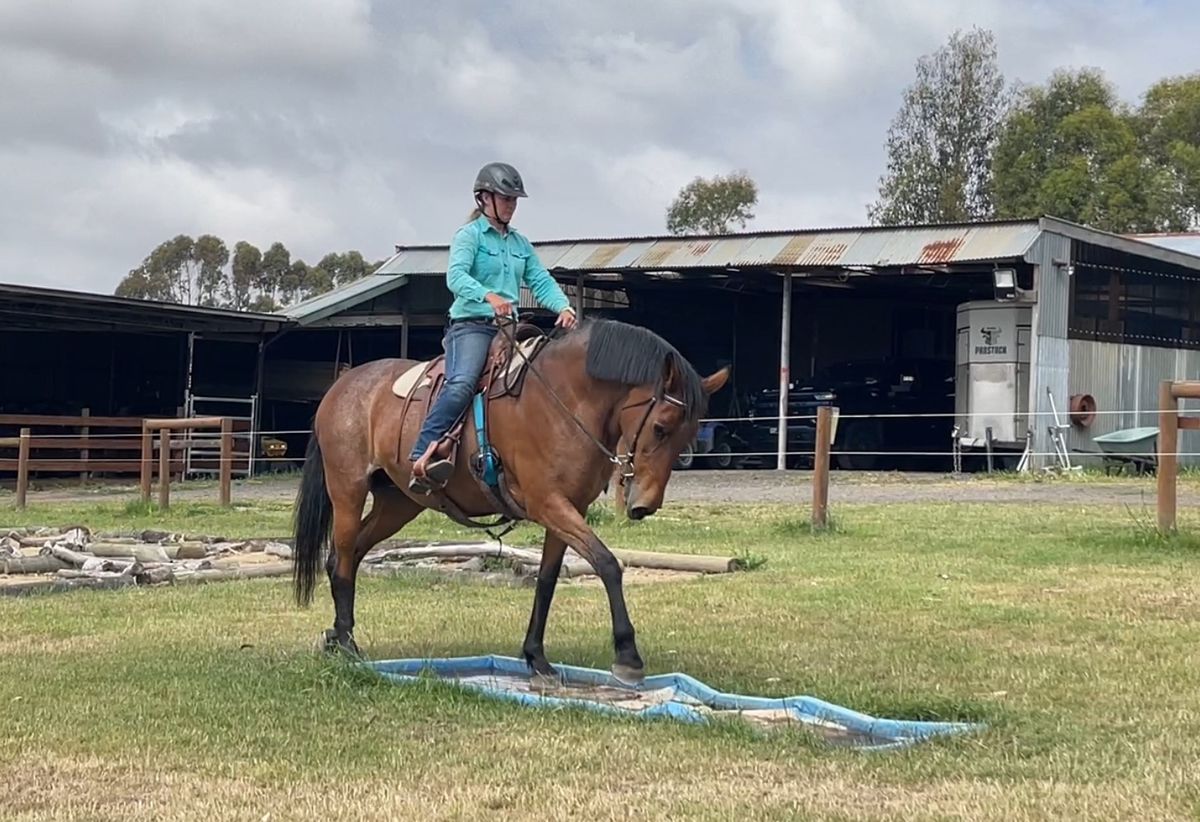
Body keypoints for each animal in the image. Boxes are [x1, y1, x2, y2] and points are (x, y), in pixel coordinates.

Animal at [292, 316, 729, 681]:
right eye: (660, 427)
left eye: (689, 435)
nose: (644, 505)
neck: (563, 400)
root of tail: (340, 388)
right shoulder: (547, 502)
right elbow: (608, 564)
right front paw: (627, 657)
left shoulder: (567, 508)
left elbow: (548, 580)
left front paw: (536, 657)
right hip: (348, 492)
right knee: (342, 560)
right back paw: (348, 644)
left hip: (398, 503)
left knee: (346, 556)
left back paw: (336, 637)